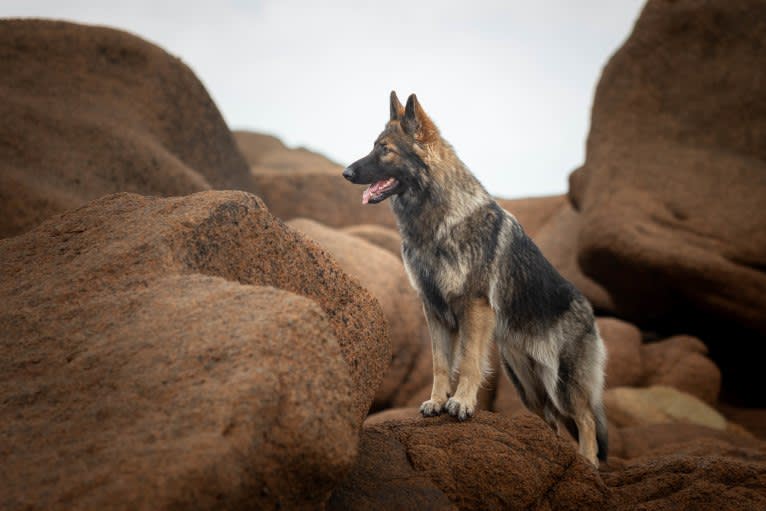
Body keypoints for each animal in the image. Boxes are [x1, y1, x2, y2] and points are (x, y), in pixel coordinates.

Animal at [344, 92, 608, 468]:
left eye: (385, 150)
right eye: (374, 146)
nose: (346, 172)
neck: (435, 222)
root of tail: (588, 309)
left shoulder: (474, 306)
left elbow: (468, 362)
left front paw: (462, 403)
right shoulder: (434, 311)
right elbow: (441, 364)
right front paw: (437, 402)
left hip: (562, 384)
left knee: (585, 419)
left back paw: (589, 463)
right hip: (528, 388)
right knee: (553, 421)